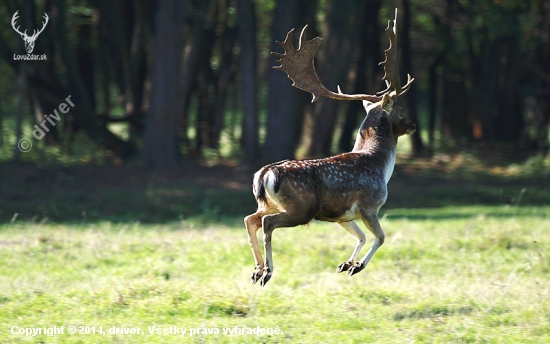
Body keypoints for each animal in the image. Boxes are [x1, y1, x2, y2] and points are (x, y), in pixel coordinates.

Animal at [246, 9, 418, 286]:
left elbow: (361, 236)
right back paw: (268, 271)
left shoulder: (342, 215)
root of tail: (263, 175)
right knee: (267, 223)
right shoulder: (370, 205)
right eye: (400, 110)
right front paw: (358, 266)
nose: (412, 125)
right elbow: (381, 237)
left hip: (268, 203)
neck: (380, 165)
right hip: (301, 208)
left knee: (251, 219)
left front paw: (346, 264)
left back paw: (257, 270)